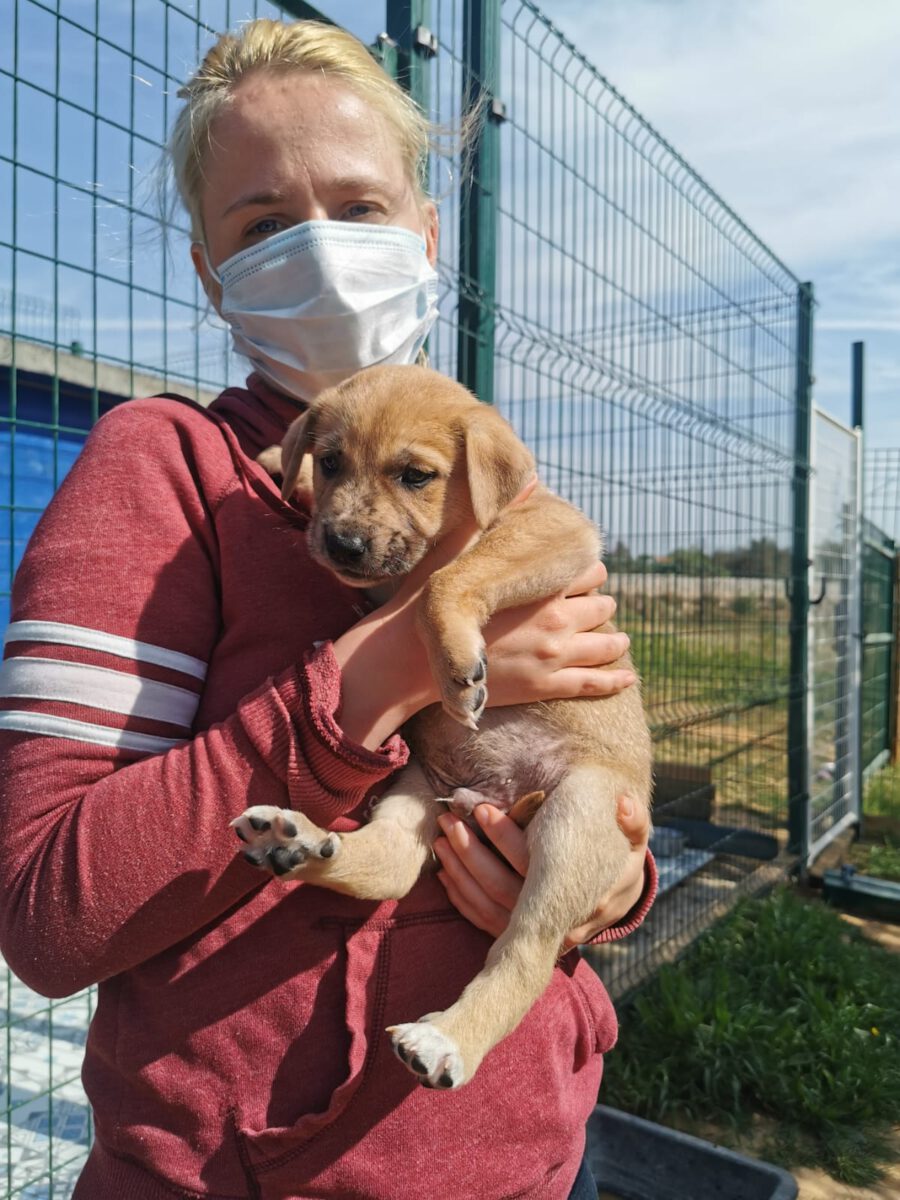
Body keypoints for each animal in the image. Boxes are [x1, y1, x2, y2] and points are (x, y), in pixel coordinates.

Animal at [232, 364, 652, 1090]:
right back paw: (296, 841)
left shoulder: (552, 529)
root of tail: (502, 797)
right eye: (334, 460)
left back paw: (446, 1039)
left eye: (416, 475)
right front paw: (282, 465)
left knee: (526, 950)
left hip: (580, 812)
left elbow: (446, 580)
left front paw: (456, 668)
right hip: (416, 790)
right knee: (388, 865)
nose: (341, 544)